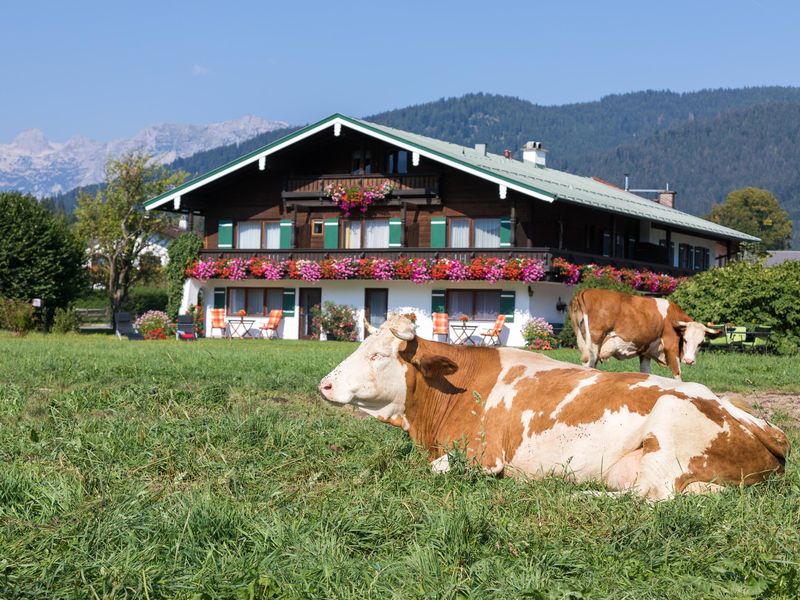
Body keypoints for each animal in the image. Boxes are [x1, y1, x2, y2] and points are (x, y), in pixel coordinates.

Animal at [318, 314, 788, 502]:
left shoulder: (482, 457)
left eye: (379, 355)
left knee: (650, 498)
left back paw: (576, 492)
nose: (325, 384)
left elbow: (435, 469)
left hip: (667, 440)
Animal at [568, 288, 720, 380]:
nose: (689, 360)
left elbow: (646, 372)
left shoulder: (646, 353)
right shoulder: (671, 346)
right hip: (594, 344)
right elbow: (677, 374)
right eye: (686, 339)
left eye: (701, 343)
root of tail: (586, 291)